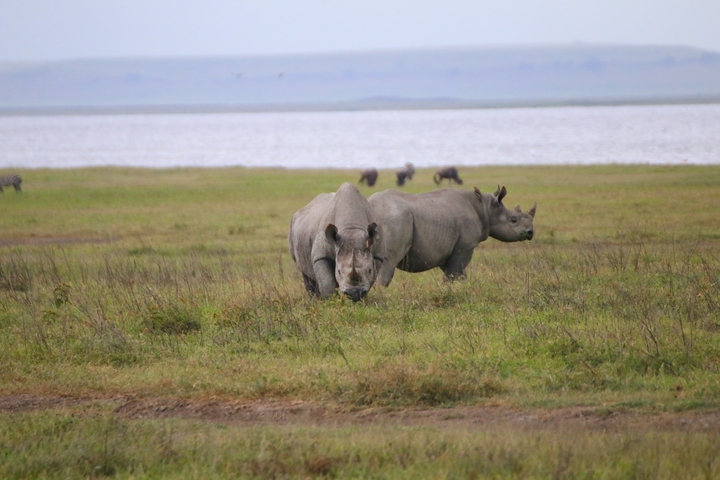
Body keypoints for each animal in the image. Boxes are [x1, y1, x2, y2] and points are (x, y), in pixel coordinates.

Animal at [368, 185, 536, 286]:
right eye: (514, 220)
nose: (530, 233)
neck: (486, 208)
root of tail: (371, 206)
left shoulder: (447, 250)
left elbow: (457, 273)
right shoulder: (465, 247)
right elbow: (454, 274)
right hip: (395, 218)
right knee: (389, 261)